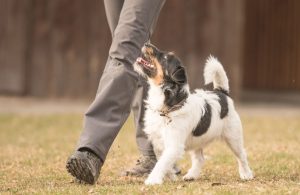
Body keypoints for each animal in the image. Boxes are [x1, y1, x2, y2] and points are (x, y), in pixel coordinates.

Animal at [134, 42, 253, 184]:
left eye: (165, 58)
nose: (147, 43)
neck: (169, 106)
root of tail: (221, 93)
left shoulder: (174, 146)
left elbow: (161, 163)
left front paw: (153, 180)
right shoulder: (158, 142)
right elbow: (163, 161)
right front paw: (171, 176)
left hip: (233, 138)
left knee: (242, 155)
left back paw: (246, 174)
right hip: (197, 141)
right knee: (200, 159)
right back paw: (192, 175)